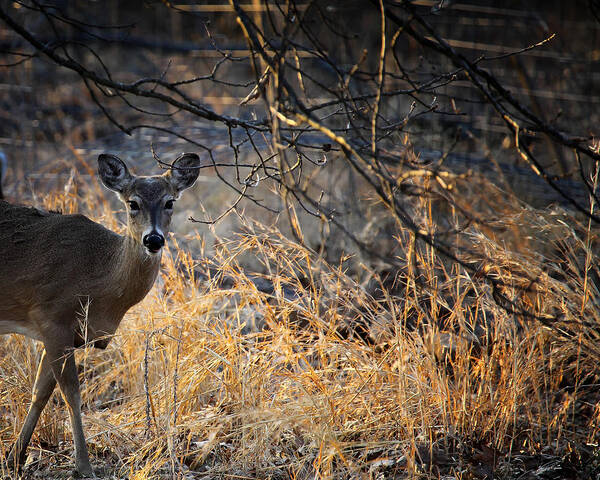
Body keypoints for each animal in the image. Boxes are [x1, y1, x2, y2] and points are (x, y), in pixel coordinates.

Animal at [0, 154, 202, 476]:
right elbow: (71, 393)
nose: (153, 239)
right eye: (133, 203)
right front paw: (84, 467)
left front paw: (14, 458)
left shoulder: (66, 333)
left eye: (170, 201)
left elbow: (41, 391)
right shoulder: (52, 317)